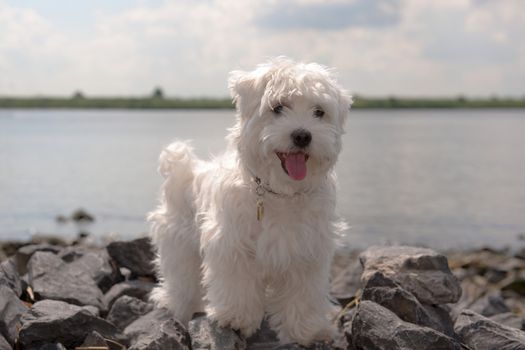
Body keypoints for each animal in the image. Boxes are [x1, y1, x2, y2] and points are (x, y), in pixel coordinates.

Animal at [148, 56, 352, 344]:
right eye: (278, 107)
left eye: (319, 112)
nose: (302, 135)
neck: (279, 192)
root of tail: (185, 170)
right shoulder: (232, 245)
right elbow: (238, 285)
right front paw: (236, 318)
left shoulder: (307, 251)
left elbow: (303, 295)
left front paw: (308, 330)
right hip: (179, 244)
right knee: (181, 279)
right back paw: (177, 306)